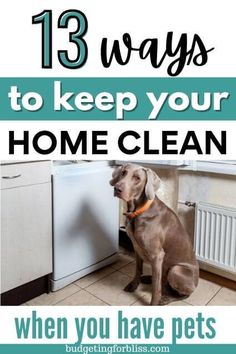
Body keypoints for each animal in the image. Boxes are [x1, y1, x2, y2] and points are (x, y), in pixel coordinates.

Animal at [109, 163, 198, 304]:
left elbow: (156, 287)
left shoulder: (157, 255)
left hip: (176, 270)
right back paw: (147, 278)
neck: (138, 212)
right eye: (123, 173)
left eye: (137, 178)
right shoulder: (137, 248)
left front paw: (154, 303)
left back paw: (166, 299)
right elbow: (138, 269)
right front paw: (134, 285)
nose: (117, 189)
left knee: (183, 293)